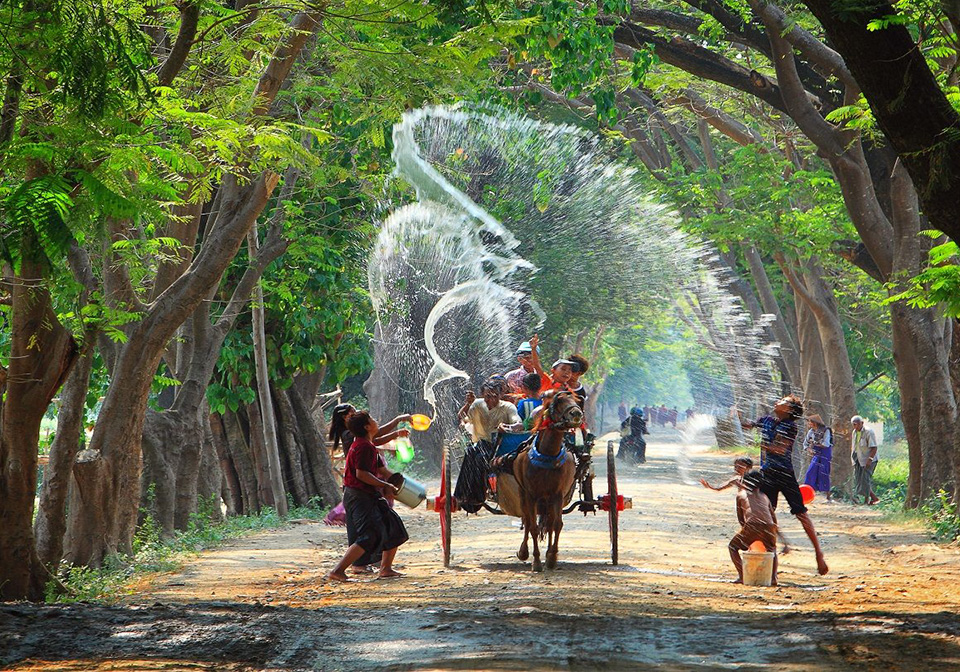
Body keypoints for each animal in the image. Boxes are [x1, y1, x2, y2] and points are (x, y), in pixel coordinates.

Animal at [512, 392, 580, 568]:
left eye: (575, 400)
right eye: (559, 402)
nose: (576, 413)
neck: (547, 456)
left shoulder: (558, 495)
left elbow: (556, 525)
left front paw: (551, 557)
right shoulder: (531, 495)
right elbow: (533, 527)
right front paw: (536, 561)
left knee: (550, 524)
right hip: (524, 496)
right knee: (527, 521)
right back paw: (523, 552)